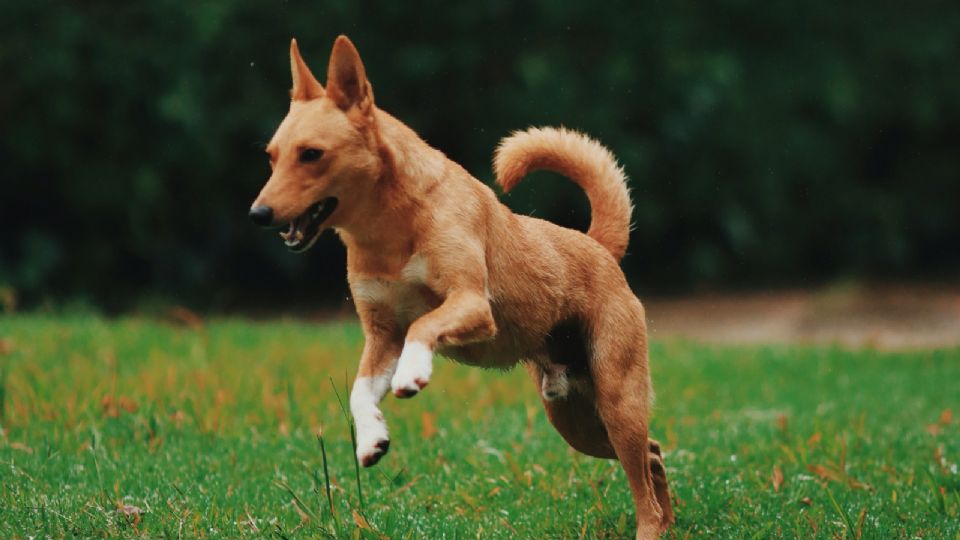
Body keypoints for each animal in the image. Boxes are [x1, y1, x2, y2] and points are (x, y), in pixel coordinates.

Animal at [251, 35, 680, 536]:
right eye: (272, 157)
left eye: (312, 154)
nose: (258, 214)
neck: (389, 230)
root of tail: (598, 246)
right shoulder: (381, 335)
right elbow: (360, 389)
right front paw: (372, 438)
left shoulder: (471, 304)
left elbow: (424, 327)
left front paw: (413, 373)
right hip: (574, 419)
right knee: (652, 456)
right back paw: (669, 523)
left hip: (616, 399)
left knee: (642, 479)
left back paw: (651, 528)